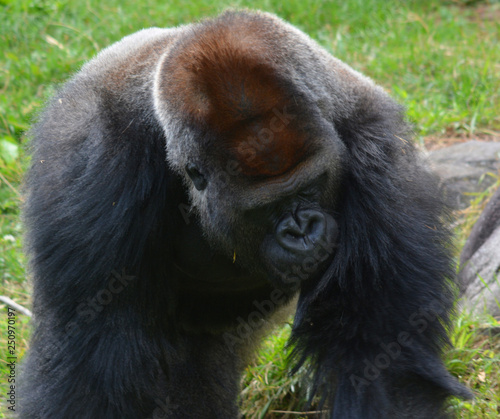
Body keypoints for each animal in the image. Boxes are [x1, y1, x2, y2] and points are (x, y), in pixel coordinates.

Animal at [20, 9, 472, 419]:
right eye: (266, 208)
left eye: (310, 187)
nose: (302, 230)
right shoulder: (93, 168)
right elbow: (95, 359)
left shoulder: (377, 152)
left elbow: (384, 359)